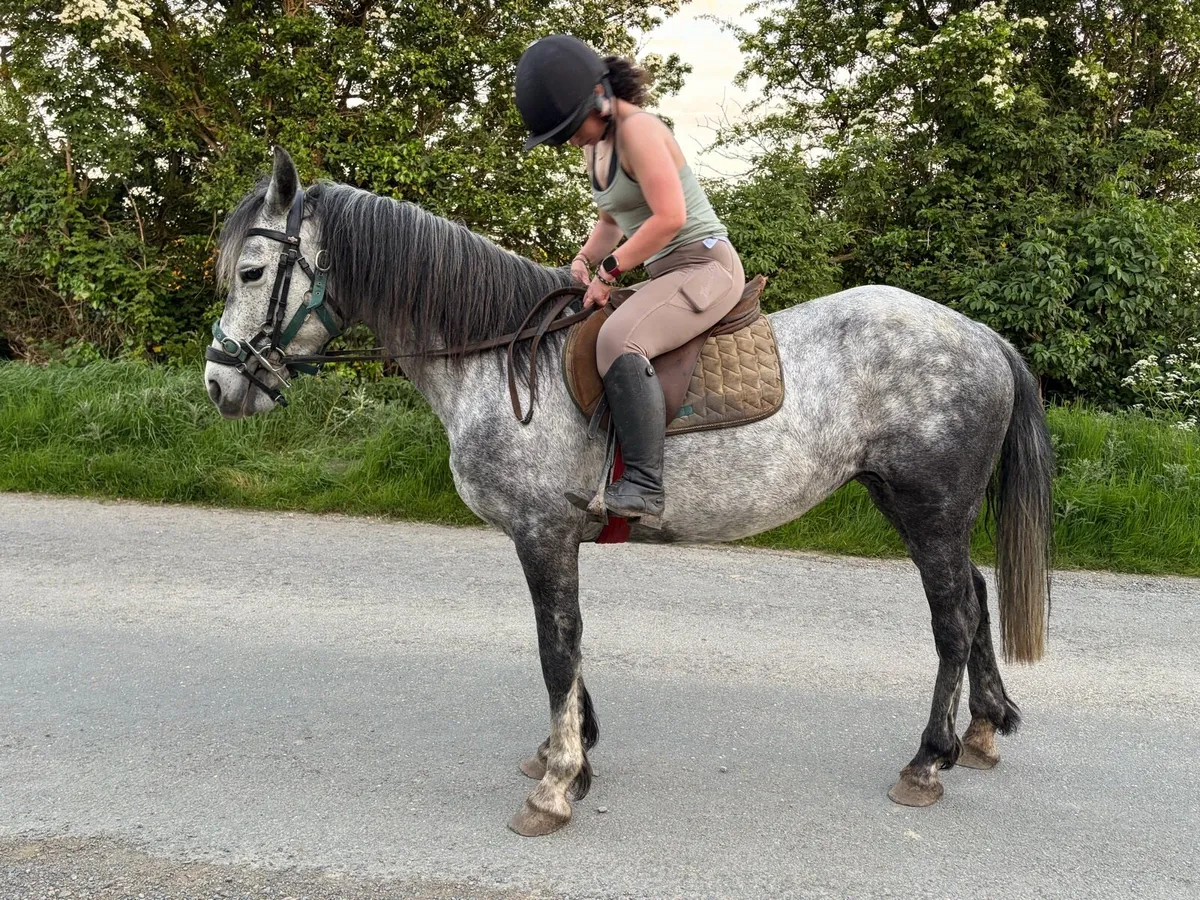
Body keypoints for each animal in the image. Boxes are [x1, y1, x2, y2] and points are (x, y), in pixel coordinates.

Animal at [203, 147, 1052, 836]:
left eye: (251, 273)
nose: (218, 385)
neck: (499, 358)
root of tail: (980, 335)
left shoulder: (542, 533)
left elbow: (557, 647)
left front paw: (556, 785)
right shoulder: (554, 539)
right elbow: (572, 648)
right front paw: (571, 754)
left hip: (929, 506)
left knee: (951, 618)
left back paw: (928, 760)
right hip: (909, 504)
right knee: (974, 598)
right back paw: (981, 731)